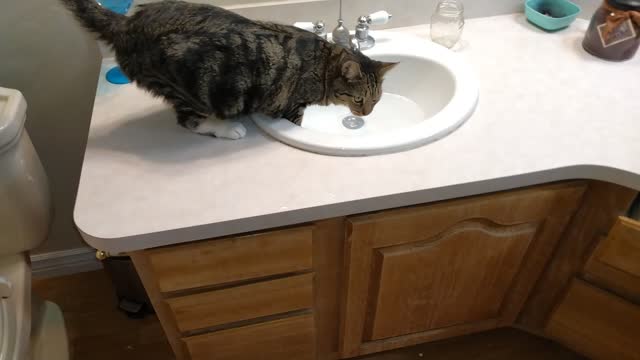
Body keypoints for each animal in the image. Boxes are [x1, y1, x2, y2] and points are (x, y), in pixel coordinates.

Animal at [62, 0, 398, 139]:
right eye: (359, 100)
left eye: (377, 100)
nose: (367, 114)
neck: (324, 63)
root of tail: (128, 23)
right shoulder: (293, 107)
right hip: (192, 85)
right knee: (188, 120)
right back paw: (228, 129)